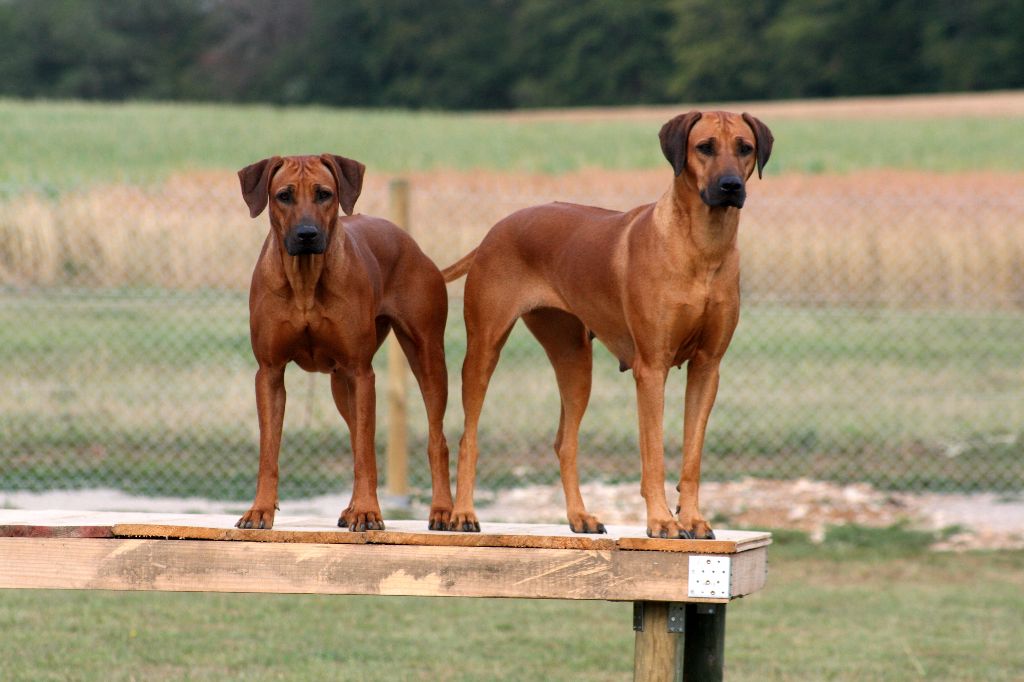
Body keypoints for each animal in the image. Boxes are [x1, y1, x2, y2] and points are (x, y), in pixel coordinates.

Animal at [235, 153, 452, 532]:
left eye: (324, 194)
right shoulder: (269, 372)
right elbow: (269, 452)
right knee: (355, 438)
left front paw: (368, 511)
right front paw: (259, 510)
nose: (307, 235)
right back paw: (352, 508)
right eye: (283, 196)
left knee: (435, 438)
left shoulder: (361, 371)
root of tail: (407, 239)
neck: (305, 279)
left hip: (427, 357)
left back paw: (444, 511)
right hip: (340, 384)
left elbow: (365, 453)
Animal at [444, 110, 770, 536]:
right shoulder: (651, 368)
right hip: (484, 348)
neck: (701, 246)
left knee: (565, 441)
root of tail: (494, 231)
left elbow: (692, 456)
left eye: (744, 148)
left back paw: (579, 516)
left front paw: (693, 518)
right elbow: (654, 454)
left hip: (575, 360)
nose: (731, 186)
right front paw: (662, 521)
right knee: (469, 436)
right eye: (705, 147)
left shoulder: (708, 367)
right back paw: (463, 513)